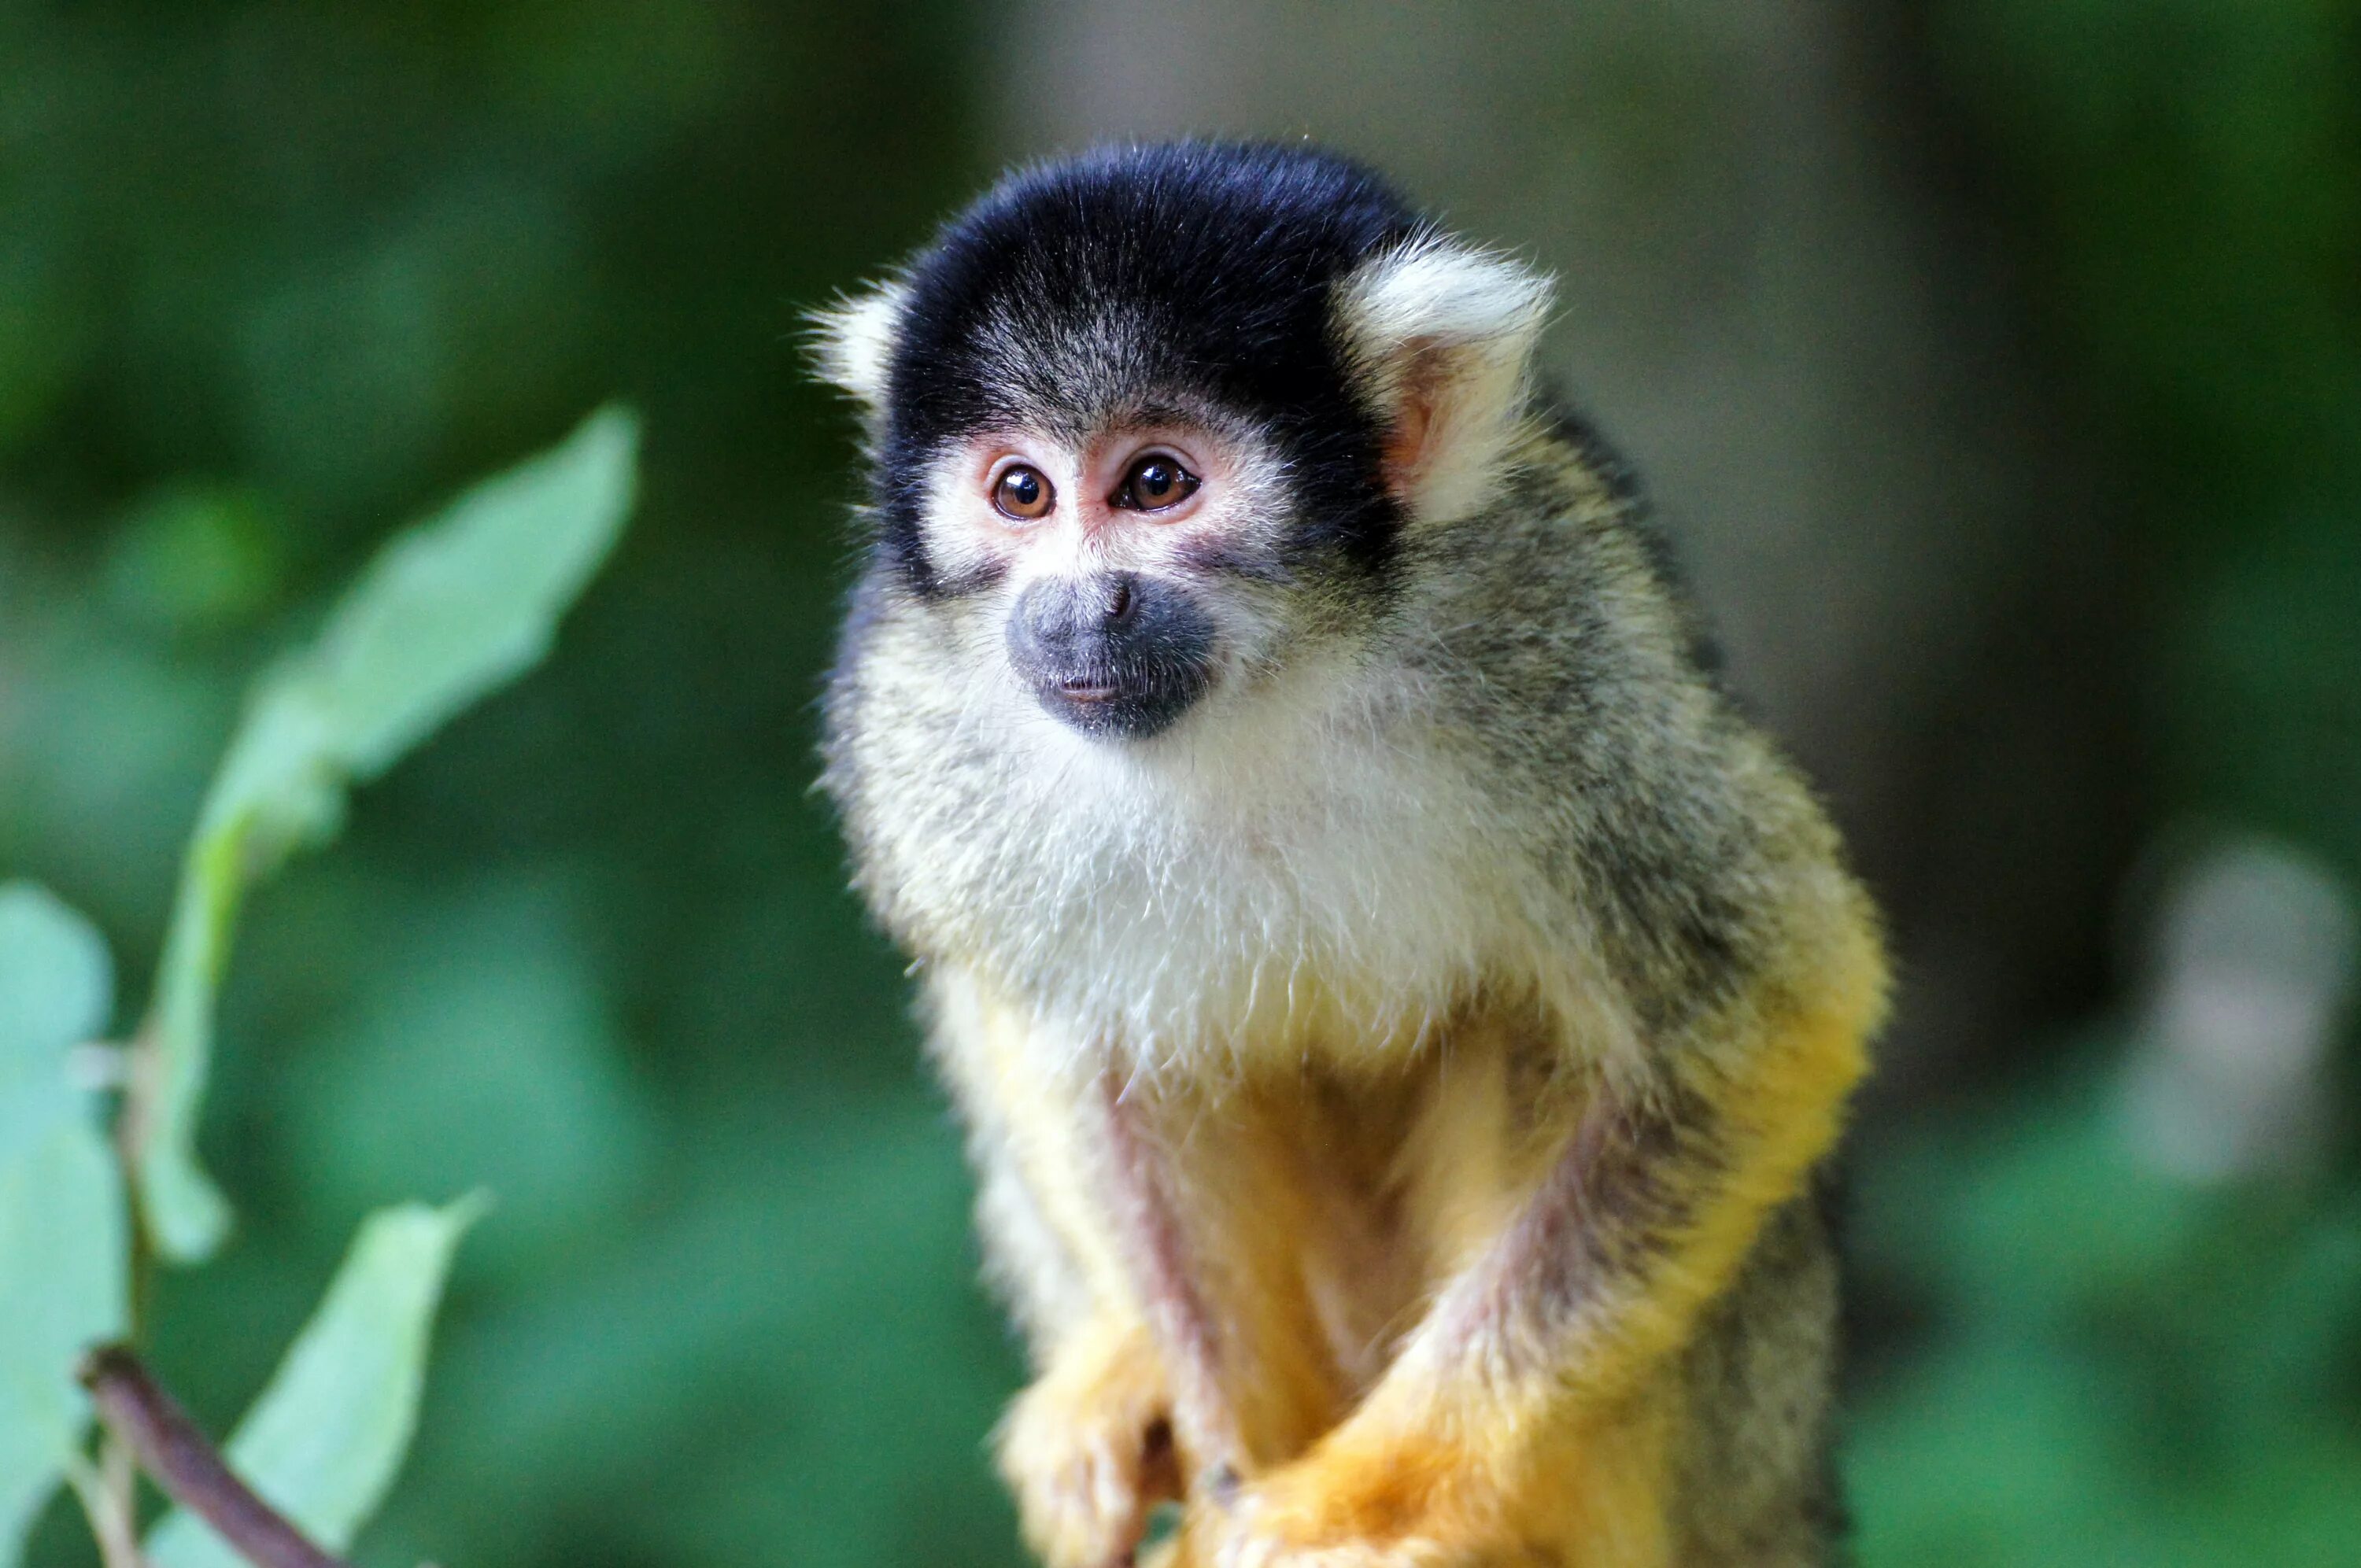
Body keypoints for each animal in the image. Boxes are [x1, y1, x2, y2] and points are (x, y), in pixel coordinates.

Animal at [812, 141, 1879, 1558]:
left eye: (1157, 482)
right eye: (1020, 493)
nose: (1079, 606)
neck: (1261, 685)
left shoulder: (1554, 637)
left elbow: (1762, 1011)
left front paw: (1365, 1496)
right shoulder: (907, 710)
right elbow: (1098, 1055)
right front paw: (1226, 1479)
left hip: (1750, 1421)